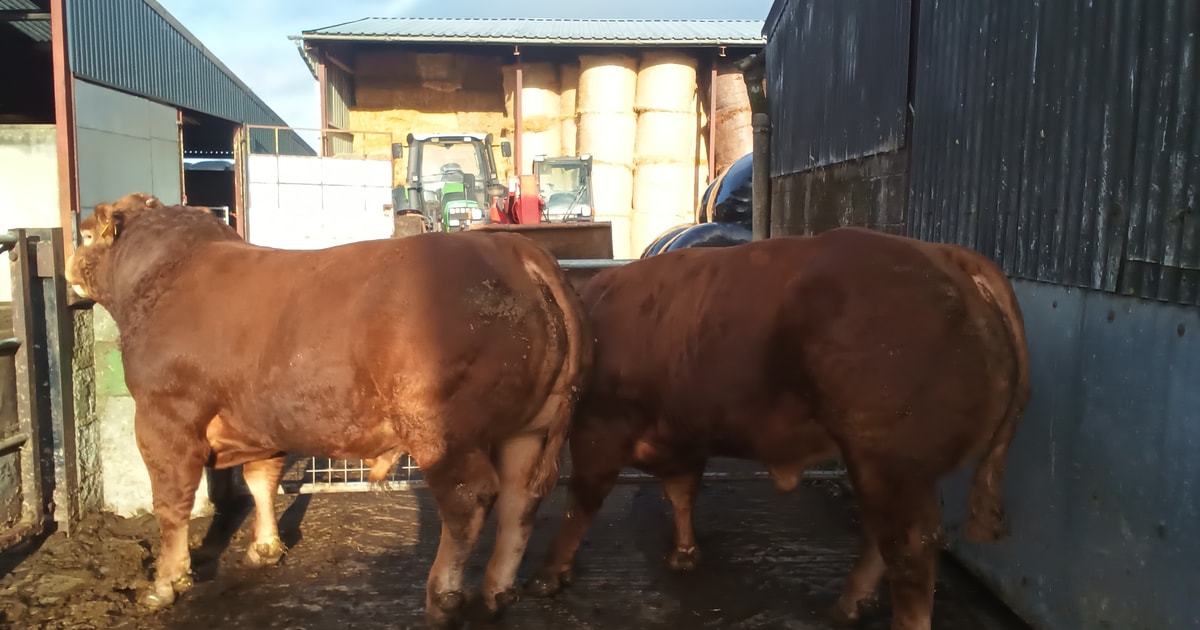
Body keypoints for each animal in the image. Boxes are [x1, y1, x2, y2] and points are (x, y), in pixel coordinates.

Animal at [65, 193, 591, 629]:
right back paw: (497, 594)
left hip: (442, 432)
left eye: (86, 235)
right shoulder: (262, 420)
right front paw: (265, 547)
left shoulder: (164, 417)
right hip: (528, 428)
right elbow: (261, 479)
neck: (162, 278)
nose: (68, 271)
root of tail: (515, 251)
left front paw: (165, 582)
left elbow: (171, 504)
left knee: (469, 500)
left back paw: (443, 599)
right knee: (521, 501)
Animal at [527, 227, 1030, 630]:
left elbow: (581, 504)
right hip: (888, 469)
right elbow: (682, 492)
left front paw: (551, 573)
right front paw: (684, 554)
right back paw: (848, 604)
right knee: (885, 536)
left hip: (889, 462)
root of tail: (945, 255)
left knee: (910, 551)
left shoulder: (600, 428)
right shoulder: (684, 434)